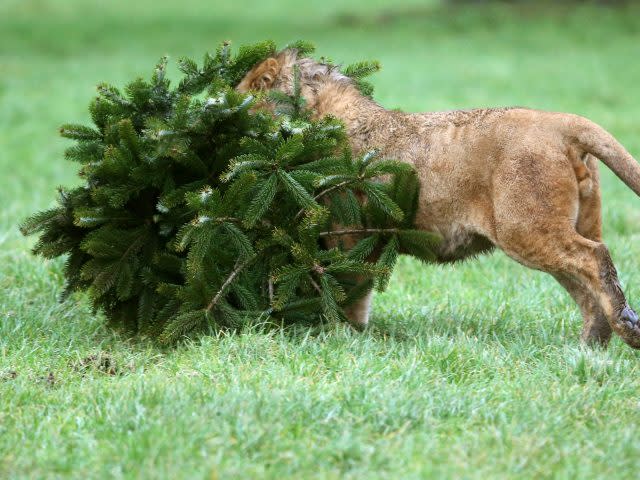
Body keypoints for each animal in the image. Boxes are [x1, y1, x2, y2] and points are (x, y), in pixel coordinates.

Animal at [238, 48, 640, 348]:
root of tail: (564, 123)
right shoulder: (367, 238)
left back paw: (625, 329)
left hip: (525, 229)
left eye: (243, 92)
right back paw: (590, 348)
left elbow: (346, 288)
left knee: (595, 258)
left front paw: (341, 336)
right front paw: (354, 334)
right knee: (586, 289)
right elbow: (359, 290)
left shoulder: (348, 230)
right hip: (572, 225)